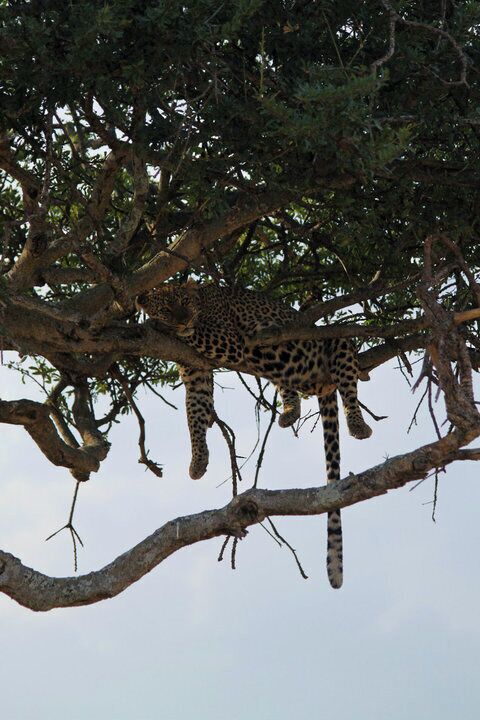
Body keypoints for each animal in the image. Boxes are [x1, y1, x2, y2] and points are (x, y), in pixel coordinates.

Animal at [136, 280, 372, 589]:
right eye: (167, 307)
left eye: (185, 302)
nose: (183, 320)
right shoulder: (196, 373)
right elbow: (194, 417)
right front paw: (198, 461)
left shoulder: (228, 340)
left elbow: (198, 337)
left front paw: (157, 325)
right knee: (287, 384)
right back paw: (289, 411)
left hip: (336, 344)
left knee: (349, 387)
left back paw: (358, 425)